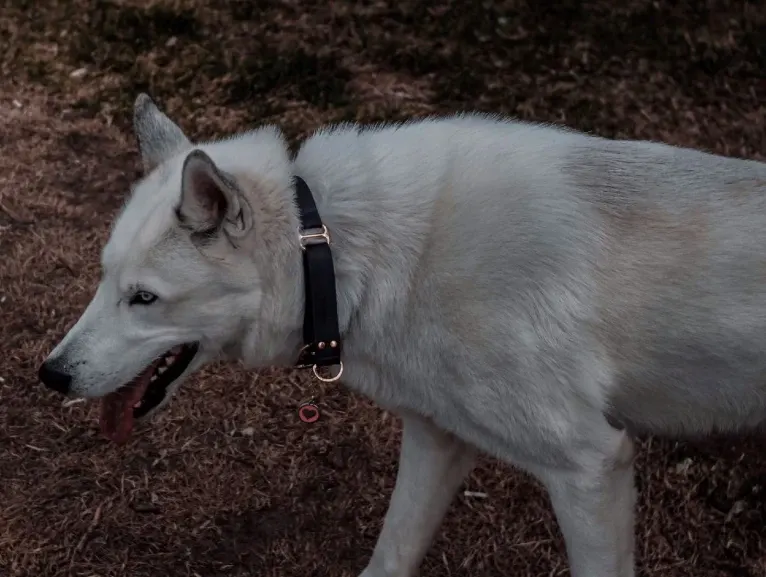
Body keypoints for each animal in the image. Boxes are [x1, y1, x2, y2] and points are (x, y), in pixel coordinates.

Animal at [39, 94, 766, 576]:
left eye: (144, 298)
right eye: (105, 279)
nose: (51, 374)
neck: (336, 248)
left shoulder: (590, 466)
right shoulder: (437, 439)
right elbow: (390, 553)